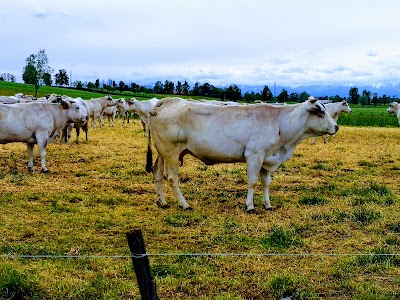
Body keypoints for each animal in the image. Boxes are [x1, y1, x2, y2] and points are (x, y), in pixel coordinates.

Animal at [145, 95, 340, 211]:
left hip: (163, 153)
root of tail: (167, 101)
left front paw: (267, 204)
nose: (337, 127)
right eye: (320, 112)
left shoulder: (267, 158)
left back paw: (162, 201)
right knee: (171, 178)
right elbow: (252, 182)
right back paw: (184, 204)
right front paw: (250, 206)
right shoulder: (254, 155)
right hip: (171, 153)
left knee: (157, 173)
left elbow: (266, 183)